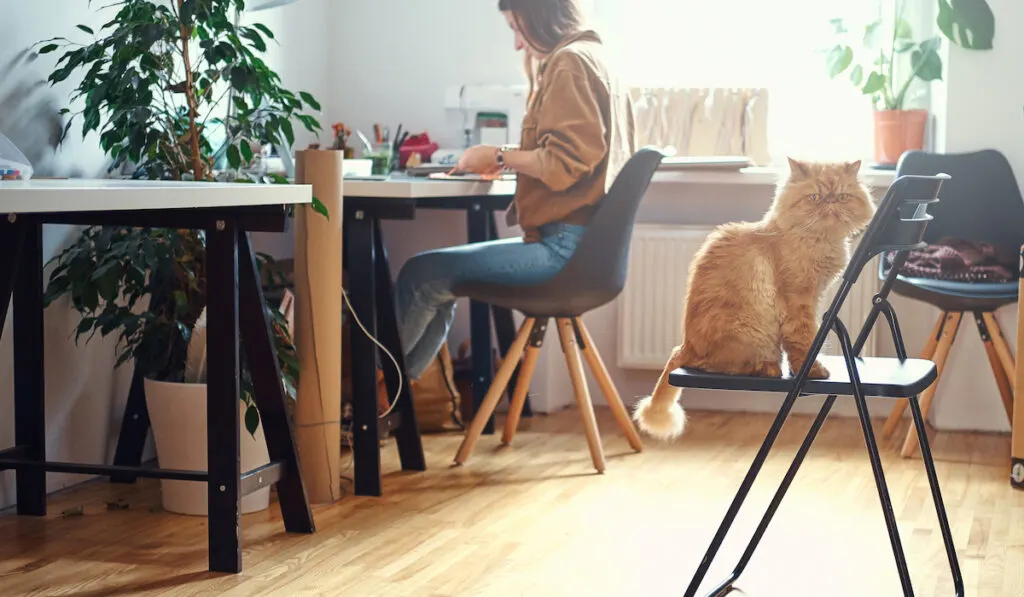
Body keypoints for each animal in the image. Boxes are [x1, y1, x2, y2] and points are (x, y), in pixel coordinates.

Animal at [634, 157, 876, 438]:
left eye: (842, 196)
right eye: (815, 197)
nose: (830, 202)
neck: (817, 241)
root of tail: (686, 346)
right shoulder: (799, 301)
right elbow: (804, 341)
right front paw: (812, 371)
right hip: (747, 335)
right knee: (719, 365)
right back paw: (767, 368)